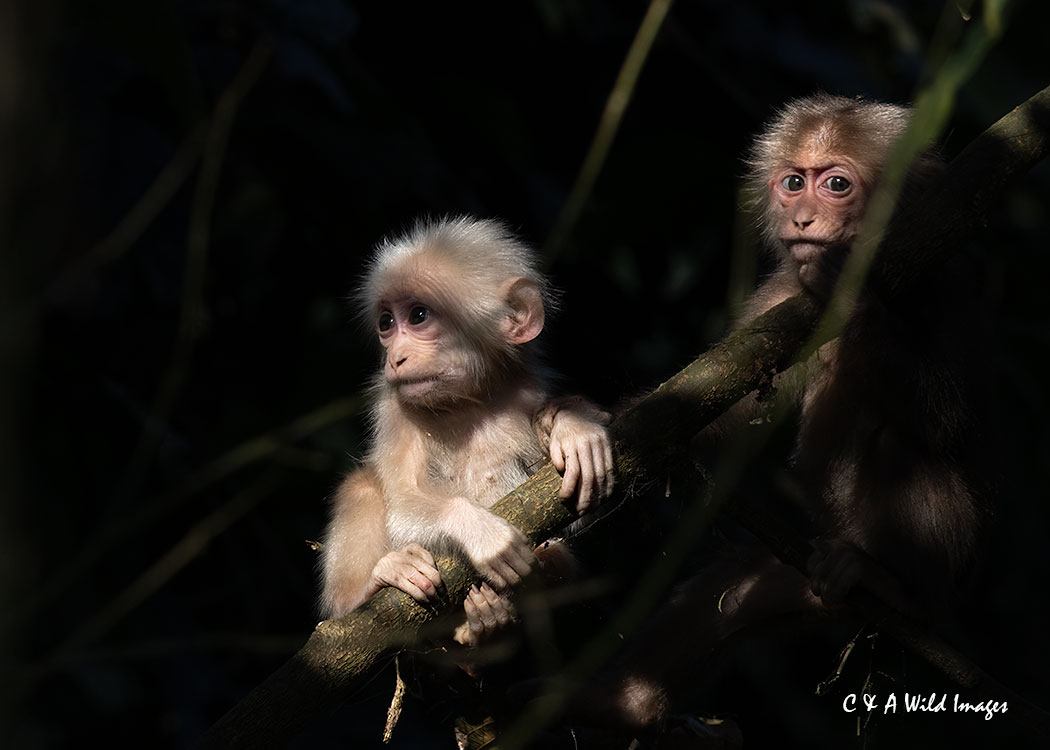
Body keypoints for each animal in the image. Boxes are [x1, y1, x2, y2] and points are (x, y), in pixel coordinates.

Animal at [319, 216, 615, 647]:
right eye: (387, 323)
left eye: (419, 316)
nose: (395, 358)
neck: (467, 401)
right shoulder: (394, 408)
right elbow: (404, 505)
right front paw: (479, 531)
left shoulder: (526, 390)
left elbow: (574, 507)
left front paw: (574, 427)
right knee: (362, 486)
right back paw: (372, 587)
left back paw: (486, 622)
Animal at [561, 94, 989, 734]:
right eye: (793, 184)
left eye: (835, 184)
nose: (803, 220)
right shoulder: (787, 293)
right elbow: (715, 408)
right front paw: (597, 426)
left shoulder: (949, 270)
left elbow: (950, 418)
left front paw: (850, 295)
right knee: (730, 593)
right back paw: (620, 704)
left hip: (948, 576)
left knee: (900, 448)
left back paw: (897, 587)